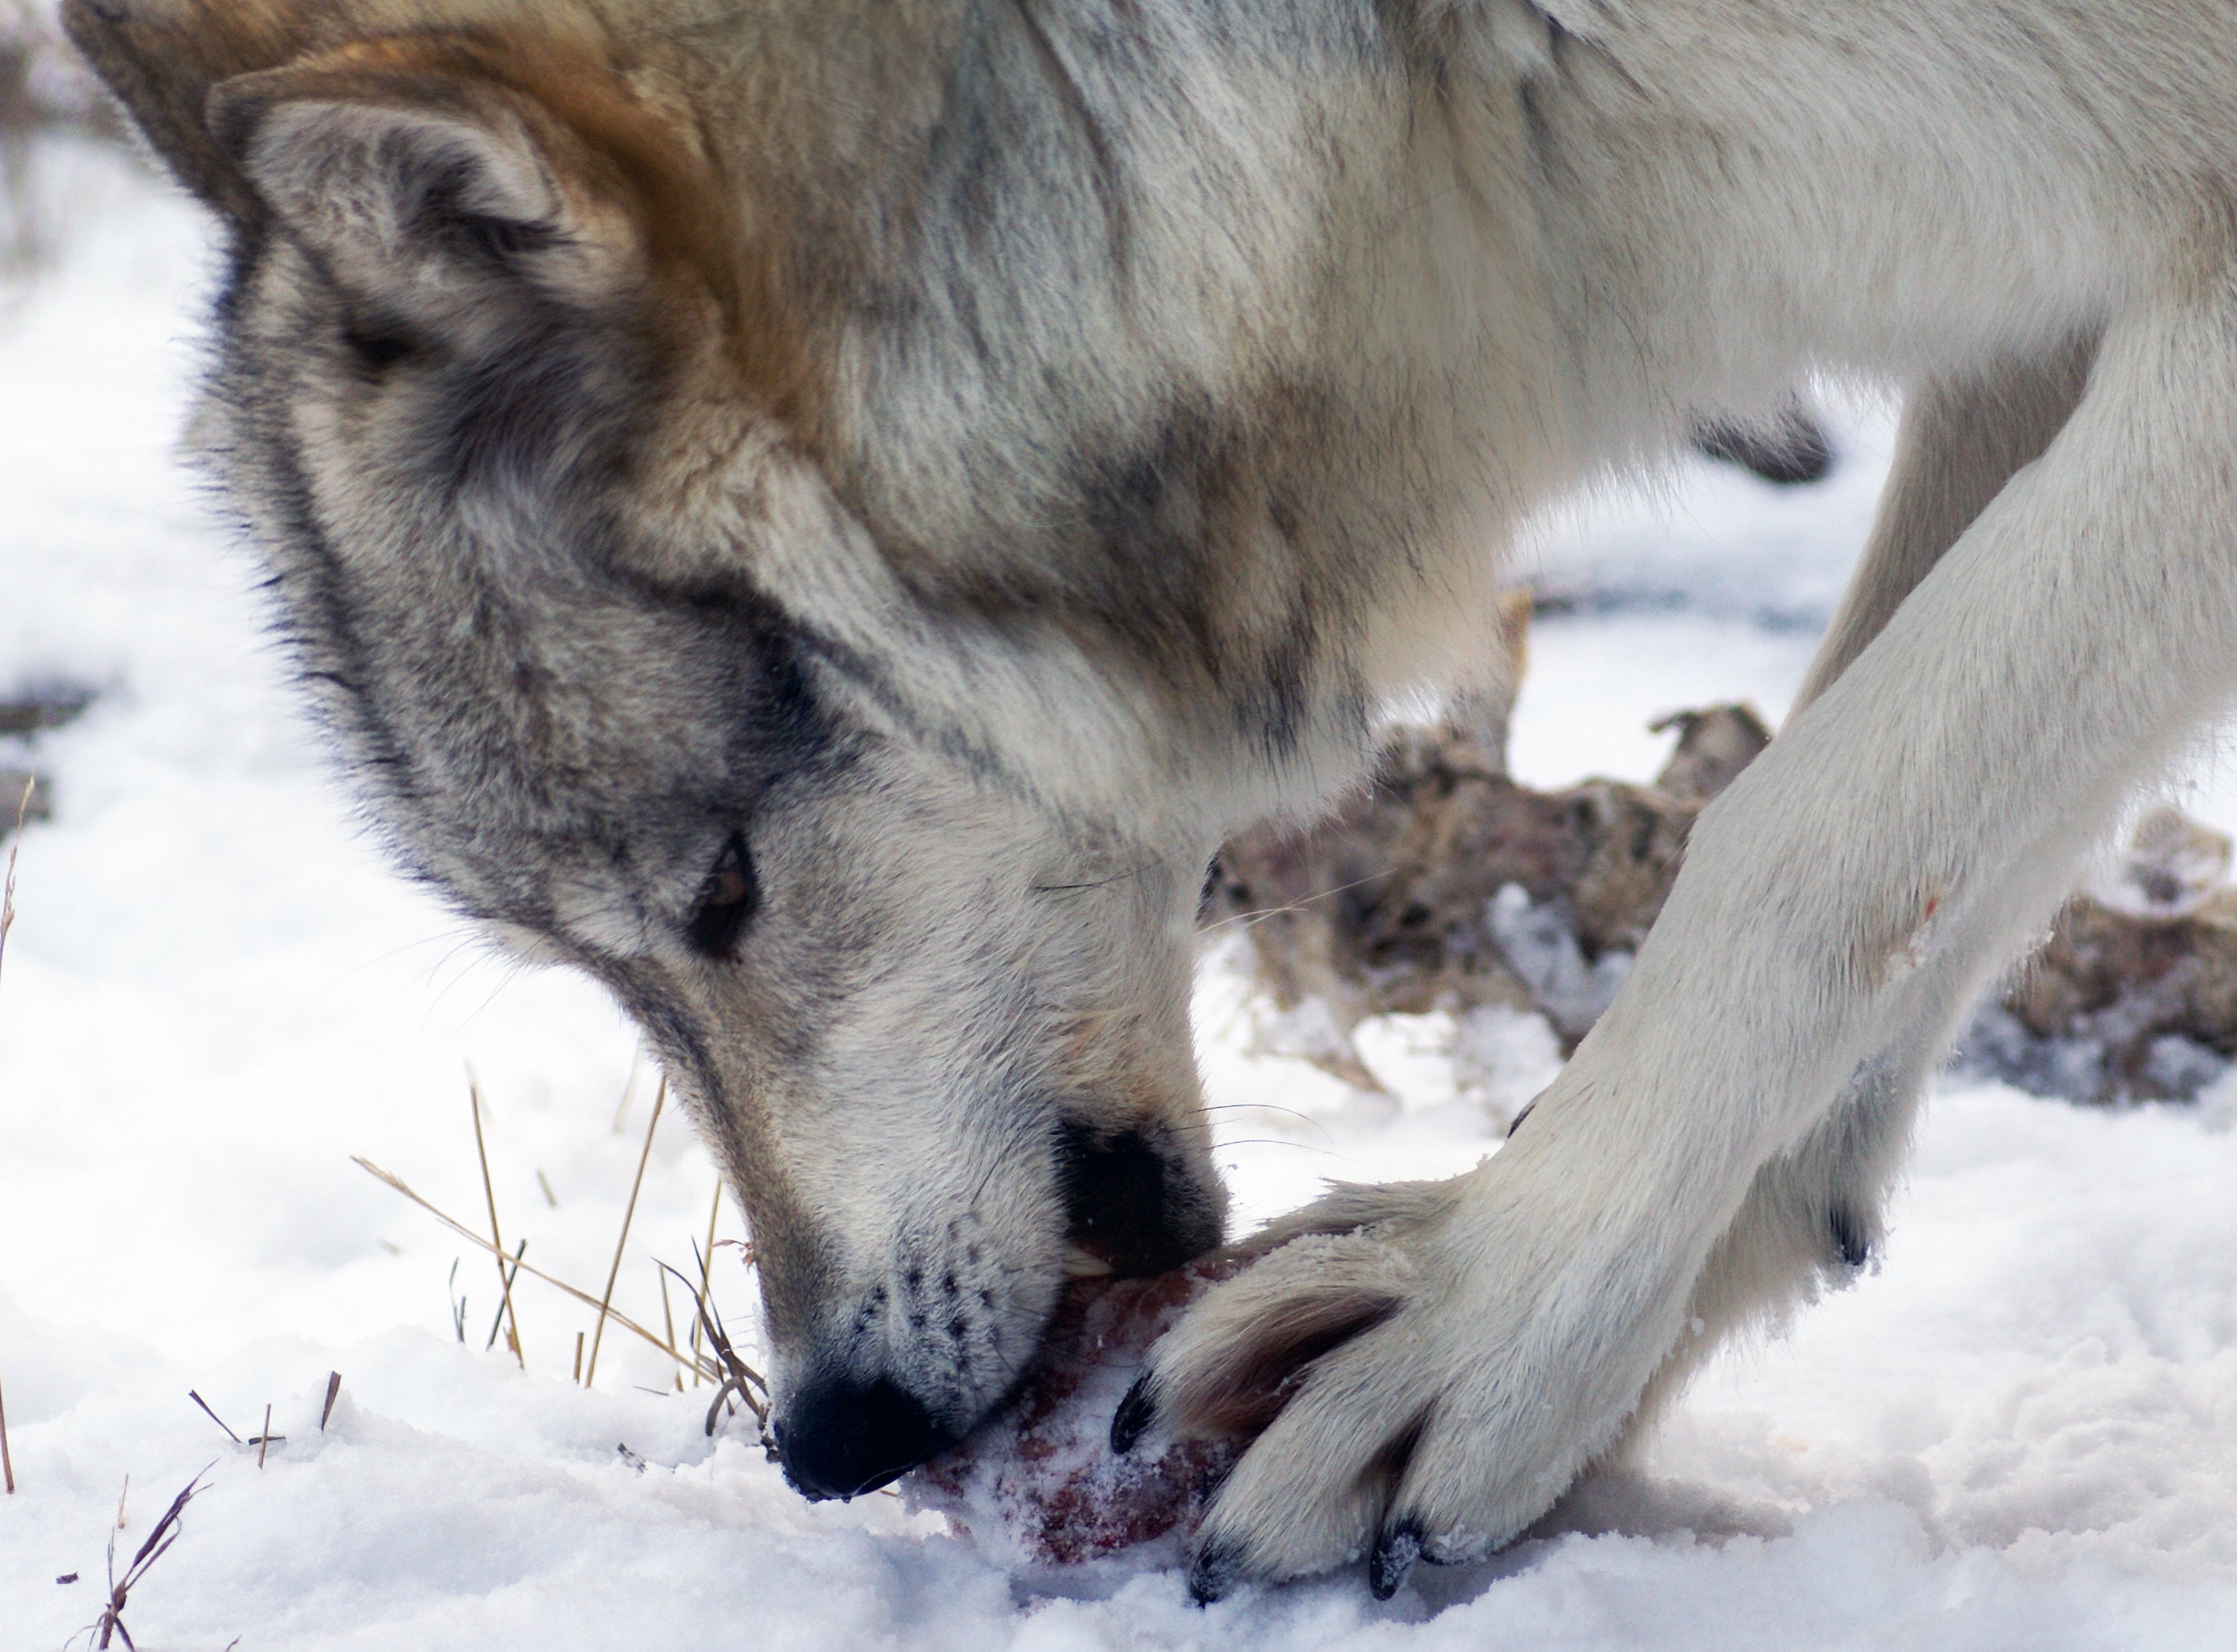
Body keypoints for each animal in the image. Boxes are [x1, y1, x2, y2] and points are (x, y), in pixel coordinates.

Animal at [64, 0, 2237, 1602]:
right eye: (611, 969)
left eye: (722, 894)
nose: (830, 1436)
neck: (1415, 79)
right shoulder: (2038, 285)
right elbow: (1898, 830)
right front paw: (1608, 1350)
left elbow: (1804, 830)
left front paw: (1468, 1322)